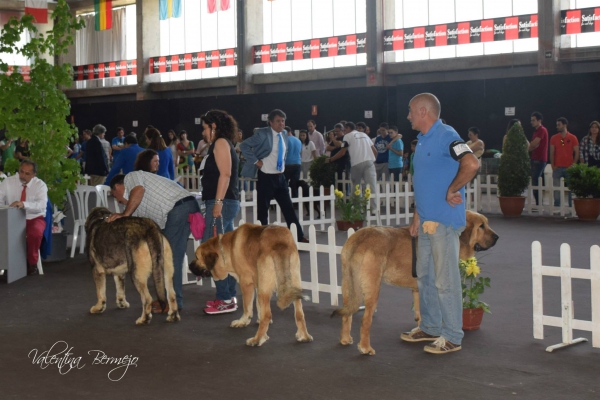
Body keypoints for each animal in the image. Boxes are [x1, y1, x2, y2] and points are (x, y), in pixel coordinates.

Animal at [332, 211, 496, 354]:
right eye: (481, 226)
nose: (497, 237)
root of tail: (360, 238)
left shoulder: (419, 289)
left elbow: (420, 314)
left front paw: (421, 332)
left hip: (348, 285)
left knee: (347, 314)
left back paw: (345, 339)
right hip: (372, 288)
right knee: (365, 320)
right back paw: (366, 348)